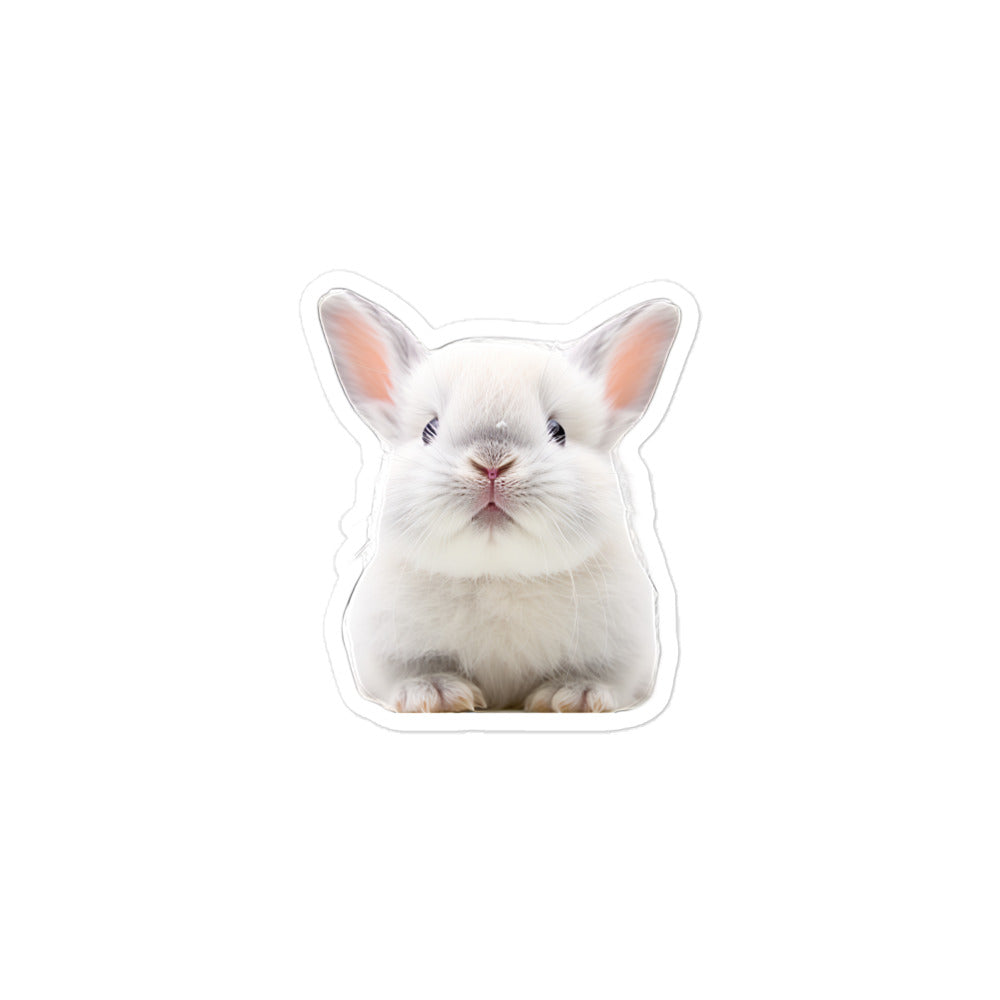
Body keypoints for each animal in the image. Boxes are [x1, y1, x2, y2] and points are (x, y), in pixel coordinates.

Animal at [318, 288, 680, 712]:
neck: (498, 574)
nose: (491, 465)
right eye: (429, 429)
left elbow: (605, 678)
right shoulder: (385, 651)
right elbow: (410, 672)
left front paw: (573, 696)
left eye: (558, 431)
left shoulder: (625, 652)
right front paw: (436, 694)